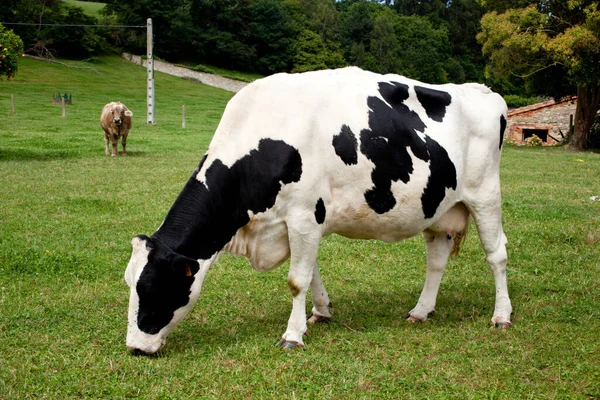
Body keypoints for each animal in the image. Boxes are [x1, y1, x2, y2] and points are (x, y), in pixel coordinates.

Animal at [124, 67, 512, 354]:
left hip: (485, 195)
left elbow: (297, 280)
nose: (134, 348)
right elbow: (311, 274)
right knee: (436, 261)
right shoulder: (299, 222)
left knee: (497, 255)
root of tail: (481, 91)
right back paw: (420, 311)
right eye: (130, 282)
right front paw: (321, 312)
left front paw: (292, 336)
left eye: (153, 286)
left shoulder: (303, 215)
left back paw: (502, 316)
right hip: (439, 206)